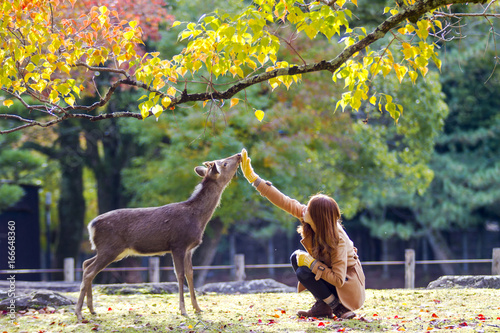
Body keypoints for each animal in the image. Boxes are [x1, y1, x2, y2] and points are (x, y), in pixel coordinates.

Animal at [74, 152, 244, 320]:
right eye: (224, 163)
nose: (238, 155)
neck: (197, 218)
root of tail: (91, 225)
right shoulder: (178, 244)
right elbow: (179, 275)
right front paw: (183, 310)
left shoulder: (189, 249)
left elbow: (190, 274)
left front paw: (198, 308)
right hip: (110, 248)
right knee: (89, 271)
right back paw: (79, 313)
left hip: (113, 250)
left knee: (86, 263)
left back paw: (91, 309)